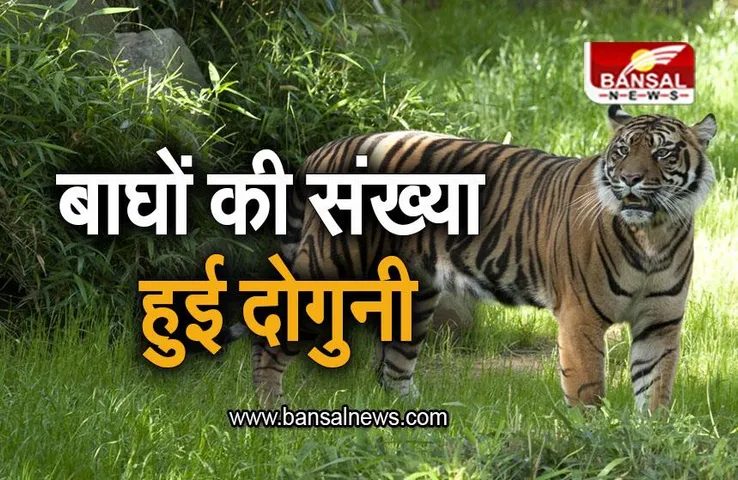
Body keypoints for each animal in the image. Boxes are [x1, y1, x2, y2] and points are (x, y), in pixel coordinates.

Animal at [226, 105, 717, 413]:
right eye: (622, 151)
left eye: (662, 152)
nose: (630, 179)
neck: (652, 233)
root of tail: (324, 150)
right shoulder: (581, 318)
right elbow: (587, 387)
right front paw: (591, 437)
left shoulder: (661, 321)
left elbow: (655, 387)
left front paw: (647, 440)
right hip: (329, 270)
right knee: (269, 338)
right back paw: (271, 408)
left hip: (415, 293)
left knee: (393, 367)